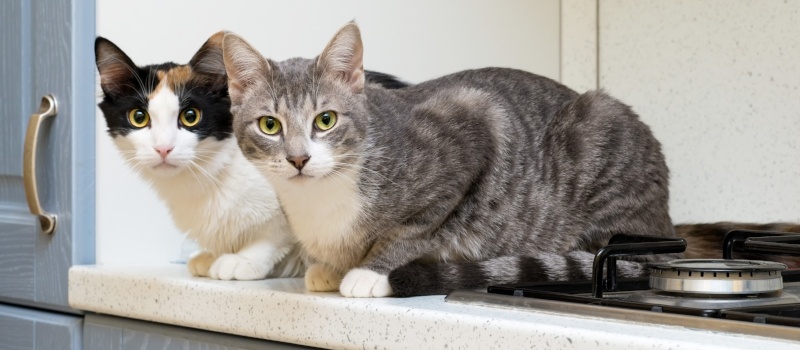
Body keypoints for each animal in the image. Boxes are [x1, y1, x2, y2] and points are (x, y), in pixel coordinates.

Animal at [94, 32, 406, 278]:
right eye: (139, 117)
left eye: (190, 116)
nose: (163, 148)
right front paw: (210, 255)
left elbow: (277, 234)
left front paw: (243, 259)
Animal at [216, 22, 796, 296]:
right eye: (270, 125)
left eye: (325, 120)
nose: (297, 159)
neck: (320, 203)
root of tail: (666, 222)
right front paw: (328, 267)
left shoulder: (473, 128)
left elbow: (417, 229)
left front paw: (367, 271)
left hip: (603, 140)